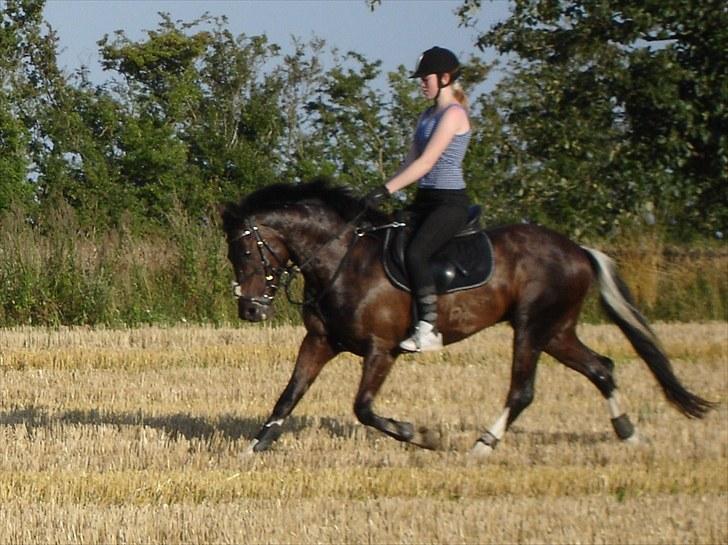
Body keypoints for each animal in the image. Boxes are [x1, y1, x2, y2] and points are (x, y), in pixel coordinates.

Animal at [219, 178, 712, 454]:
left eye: (245, 251)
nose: (249, 309)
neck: (342, 260)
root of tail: (578, 250)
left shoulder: (381, 350)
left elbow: (363, 407)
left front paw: (420, 435)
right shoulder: (321, 342)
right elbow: (288, 396)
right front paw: (254, 449)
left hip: (532, 327)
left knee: (523, 390)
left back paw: (482, 445)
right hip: (556, 331)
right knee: (602, 368)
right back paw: (629, 435)